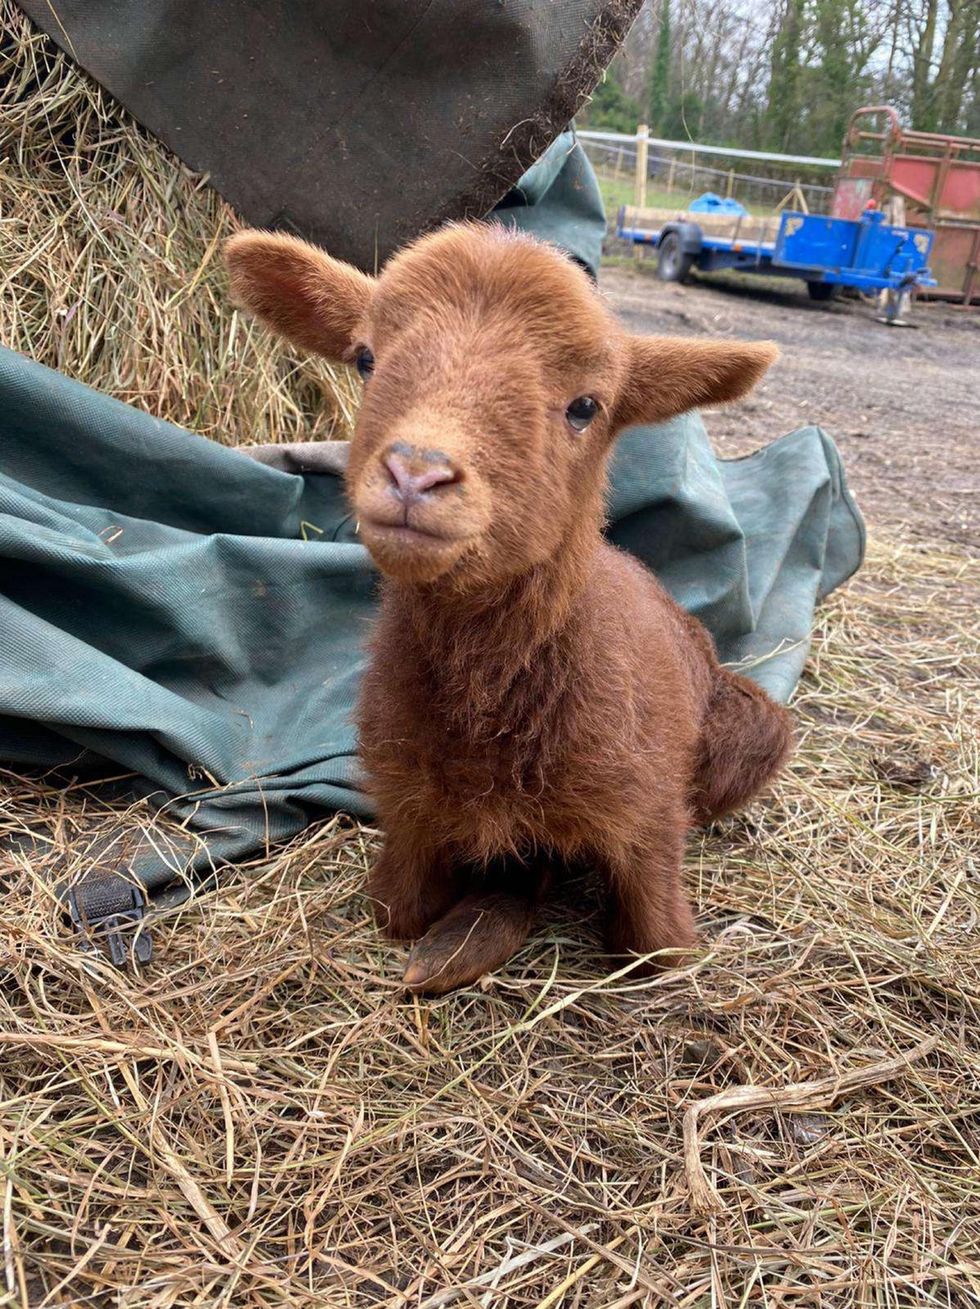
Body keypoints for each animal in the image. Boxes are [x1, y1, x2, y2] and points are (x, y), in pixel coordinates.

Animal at [225, 222, 793, 993]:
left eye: (585, 406)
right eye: (366, 359)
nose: (417, 473)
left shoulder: (648, 821)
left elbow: (657, 949)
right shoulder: (406, 817)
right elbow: (396, 912)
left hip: (758, 728)